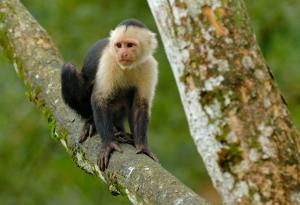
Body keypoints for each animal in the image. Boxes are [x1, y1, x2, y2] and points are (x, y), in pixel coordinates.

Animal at [61, 18, 159, 171]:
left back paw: (124, 133)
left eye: (130, 45)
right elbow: (100, 98)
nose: (122, 53)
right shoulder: (108, 61)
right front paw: (109, 144)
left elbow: (140, 105)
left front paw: (142, 146)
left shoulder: (149, 65)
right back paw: (91, 121)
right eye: (119, 45)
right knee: (68, 69)